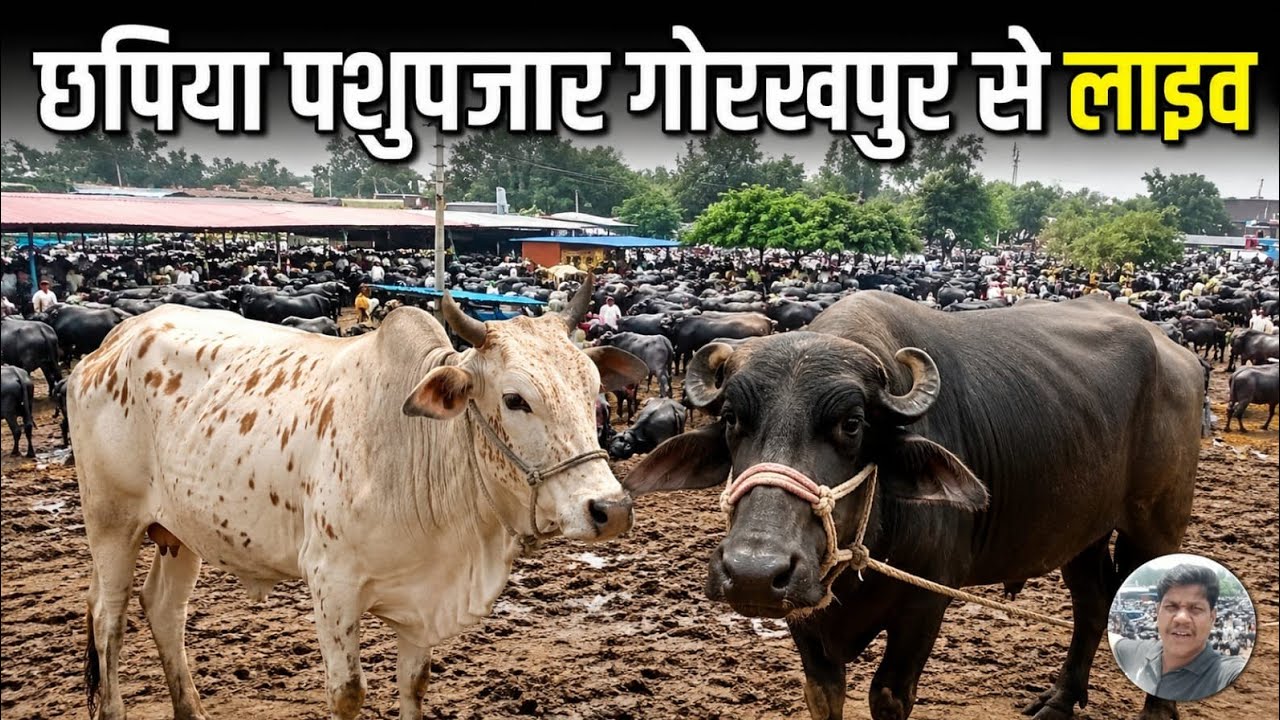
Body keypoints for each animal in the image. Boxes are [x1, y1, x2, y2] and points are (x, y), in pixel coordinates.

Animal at [68, 277, 649, 720]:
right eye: (514, 399)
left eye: (592, 388)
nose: (610, 509)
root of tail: (115, 338)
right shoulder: (332, 586)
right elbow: (348, 694)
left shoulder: (422, 600)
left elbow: (414, 686)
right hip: (111, 523)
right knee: (109, 617)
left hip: (180, 532)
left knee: (164, 610)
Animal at [624, 290, 1206, 720]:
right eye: (732, 419)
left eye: (852, 424)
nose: (751, 573)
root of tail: (1177, 354)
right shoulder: (805, 615)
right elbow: (824, 696)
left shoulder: (926, 603)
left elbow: (887, 696)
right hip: (1082, 532)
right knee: (1091, 605)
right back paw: (1060, 701)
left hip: (1156, 523)